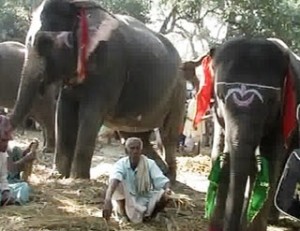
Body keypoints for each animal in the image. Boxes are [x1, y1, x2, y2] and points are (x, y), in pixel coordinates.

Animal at [9, 0, 186, 184]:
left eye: (44, 42)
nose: (32, 144)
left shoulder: (109, 68)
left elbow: (90, 114)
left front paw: (78, 180)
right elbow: (64, 112)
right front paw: (58, 176)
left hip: (179, 92)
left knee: (168, 135)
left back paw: (170, 179)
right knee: (137, 137)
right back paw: (161, 173)